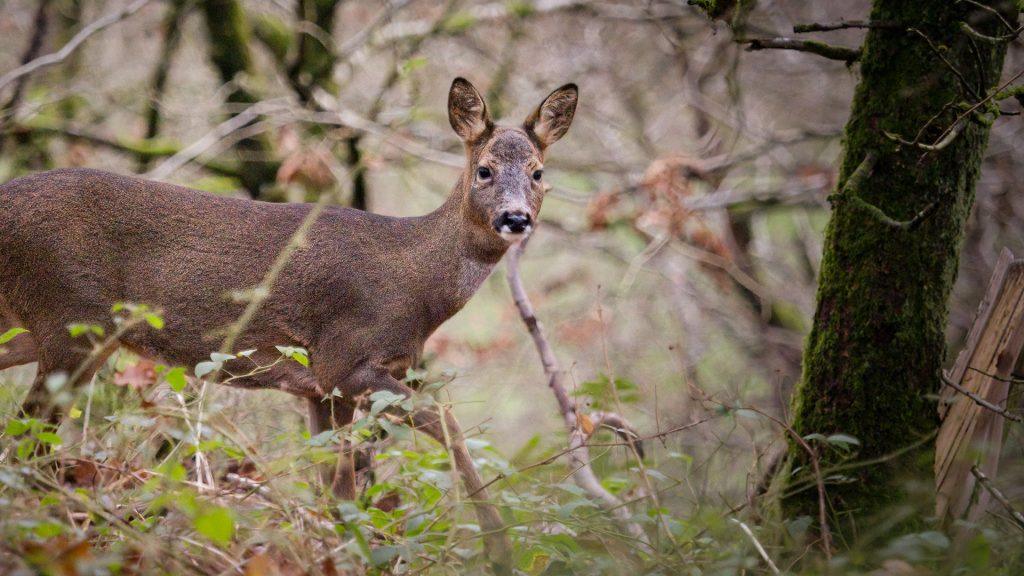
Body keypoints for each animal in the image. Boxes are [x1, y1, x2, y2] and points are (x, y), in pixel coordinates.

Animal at [0, 77, 577, 569]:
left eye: (538, 172)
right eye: (484, 169)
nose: (516, 218)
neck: (415, 285)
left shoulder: (319, 388)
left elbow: (335, 488)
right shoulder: (344, 360)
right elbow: (441, 421)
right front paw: (497, 546)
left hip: (39, 330)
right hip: (71, 320)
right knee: (27, 442)